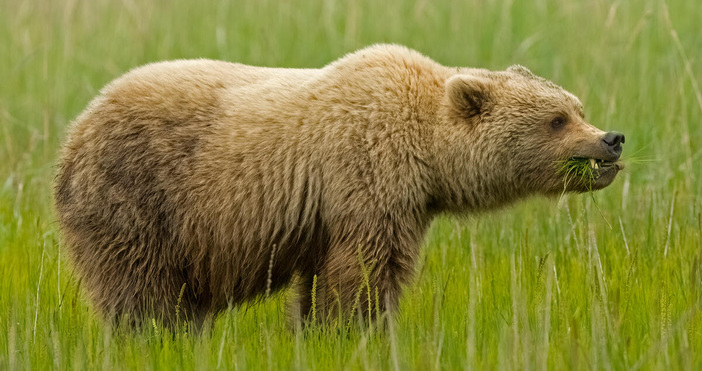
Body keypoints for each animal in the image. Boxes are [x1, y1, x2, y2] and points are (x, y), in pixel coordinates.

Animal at [55, 44, 628, 328]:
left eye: (577, 106)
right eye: (557, 120)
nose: (612, 139)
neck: (426, 154)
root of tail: (76, 126)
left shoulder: (335, 213)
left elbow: (320, 280)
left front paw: (318, 330)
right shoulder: (366, 178)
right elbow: (366, 270)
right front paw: (360, 329)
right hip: (137, 193)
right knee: (142, 289)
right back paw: (152, 334)